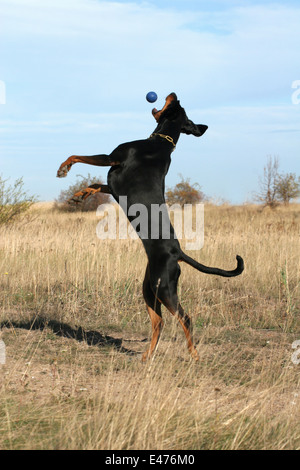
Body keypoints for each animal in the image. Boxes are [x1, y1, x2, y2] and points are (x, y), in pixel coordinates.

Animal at [56, 92, 244, 360]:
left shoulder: (112, 158)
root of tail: (178, 253)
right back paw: (147, 355)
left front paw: (64, 168)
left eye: (176, 103)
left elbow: (77, 156)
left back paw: (194, 355)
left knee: (186, 318)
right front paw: (79, 195)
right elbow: (96, 184)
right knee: (159, 322)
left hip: (164, 289)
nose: (174, 93)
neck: (160, 143)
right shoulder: (113, 179)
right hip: (149, 289)